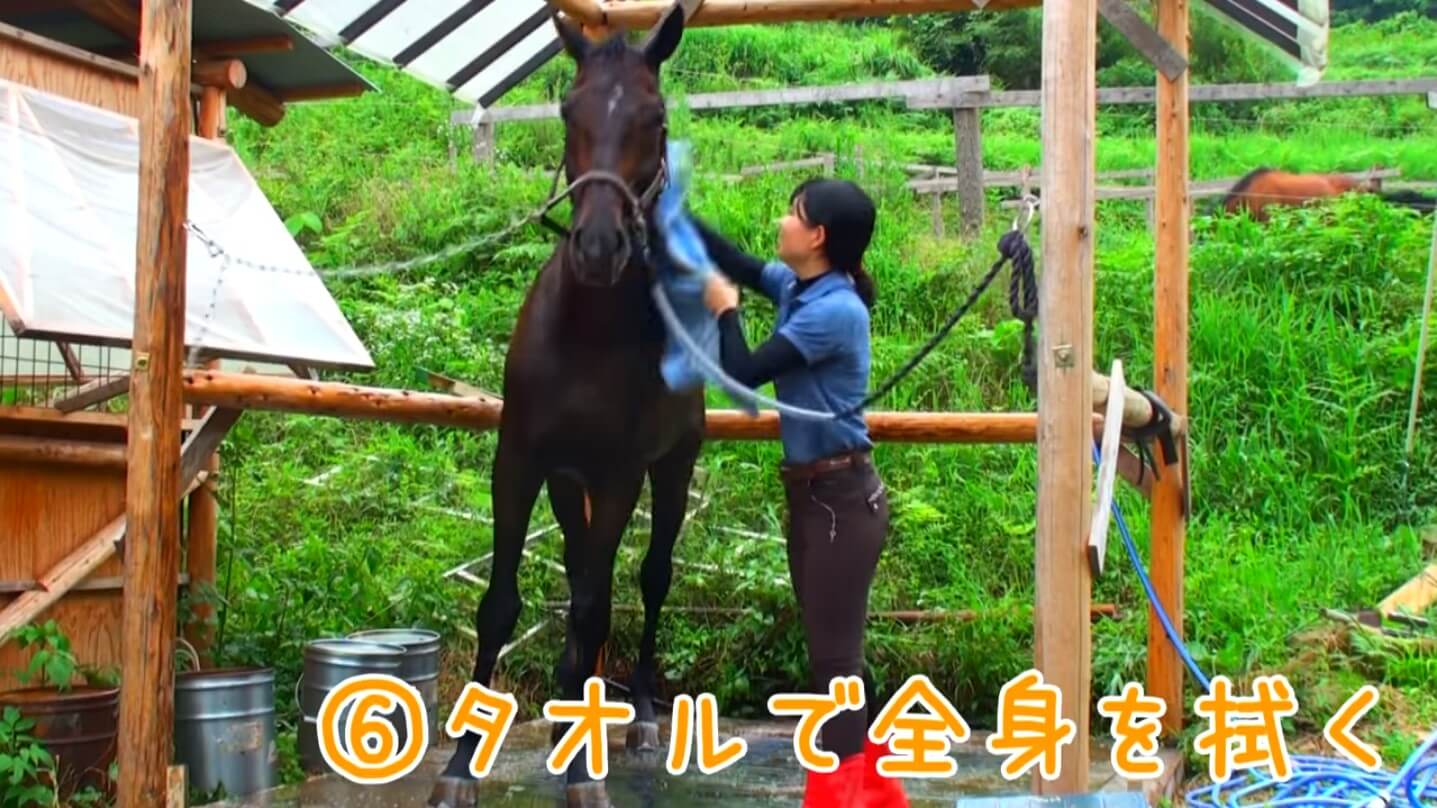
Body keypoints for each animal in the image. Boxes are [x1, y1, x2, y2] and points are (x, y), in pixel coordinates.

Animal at [429, 8, 700, 808]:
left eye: (656, 118)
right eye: (567, 112)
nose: (599, 246)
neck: (588, 331)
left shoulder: (618, 476)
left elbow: (593, 606)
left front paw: (584, 776)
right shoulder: (520, 459)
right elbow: (501, 605)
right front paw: (459, 767)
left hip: (671, 468)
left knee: (645, 579)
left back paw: (636, 719)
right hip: (564, 483)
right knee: (585, 577)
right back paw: (563, 721)